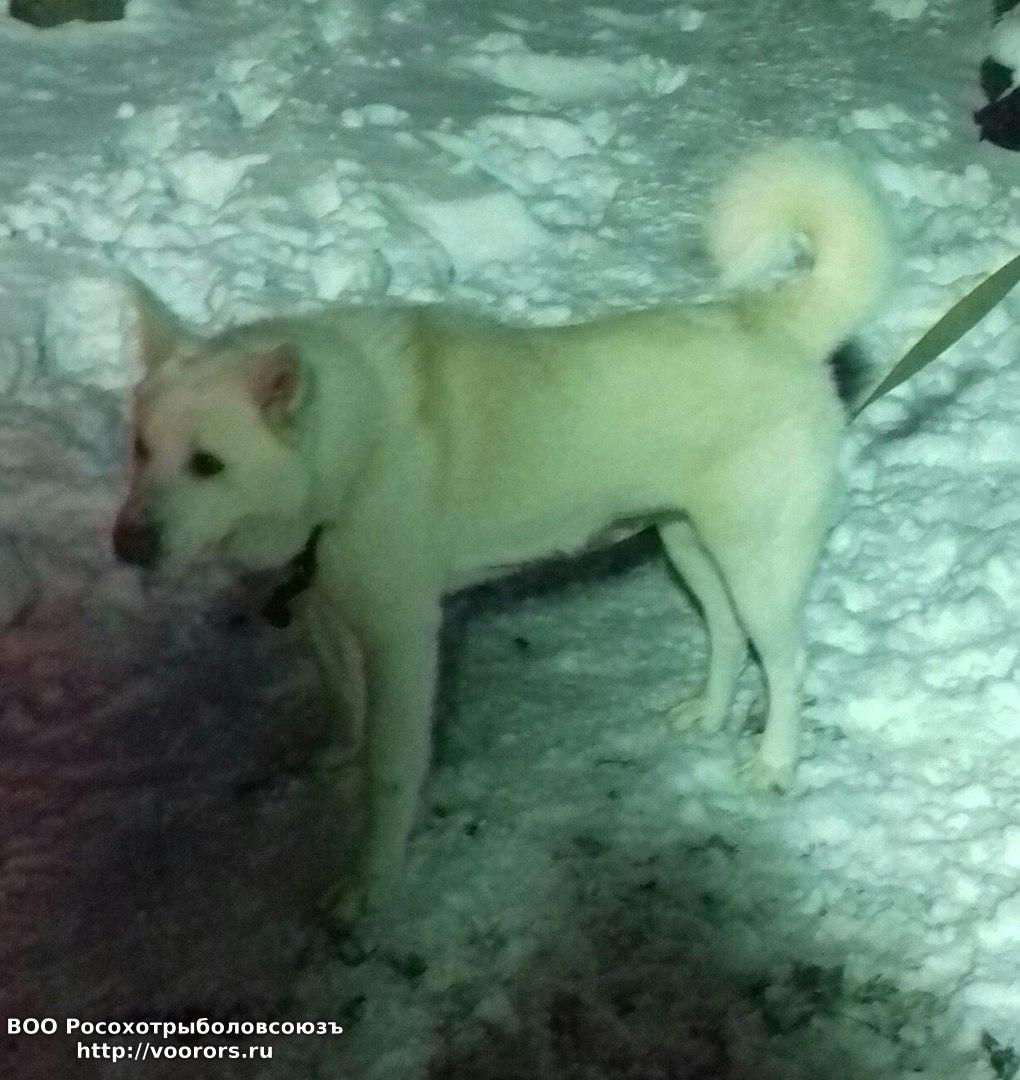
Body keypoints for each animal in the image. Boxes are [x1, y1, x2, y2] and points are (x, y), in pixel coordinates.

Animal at [113, 140, 894, 914]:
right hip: (690, 543)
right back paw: (707, 713)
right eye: (142, 448)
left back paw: (774, 764)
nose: (125, 546)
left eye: (207, 464)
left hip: (758, 561)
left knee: (789, 663)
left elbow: (390, 773)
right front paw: (340, 755)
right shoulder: (326, 612)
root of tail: (782, 326)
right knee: (729, 636)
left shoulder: (403, 637)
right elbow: (343, 701)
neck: (348, 452)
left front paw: (372, 883)